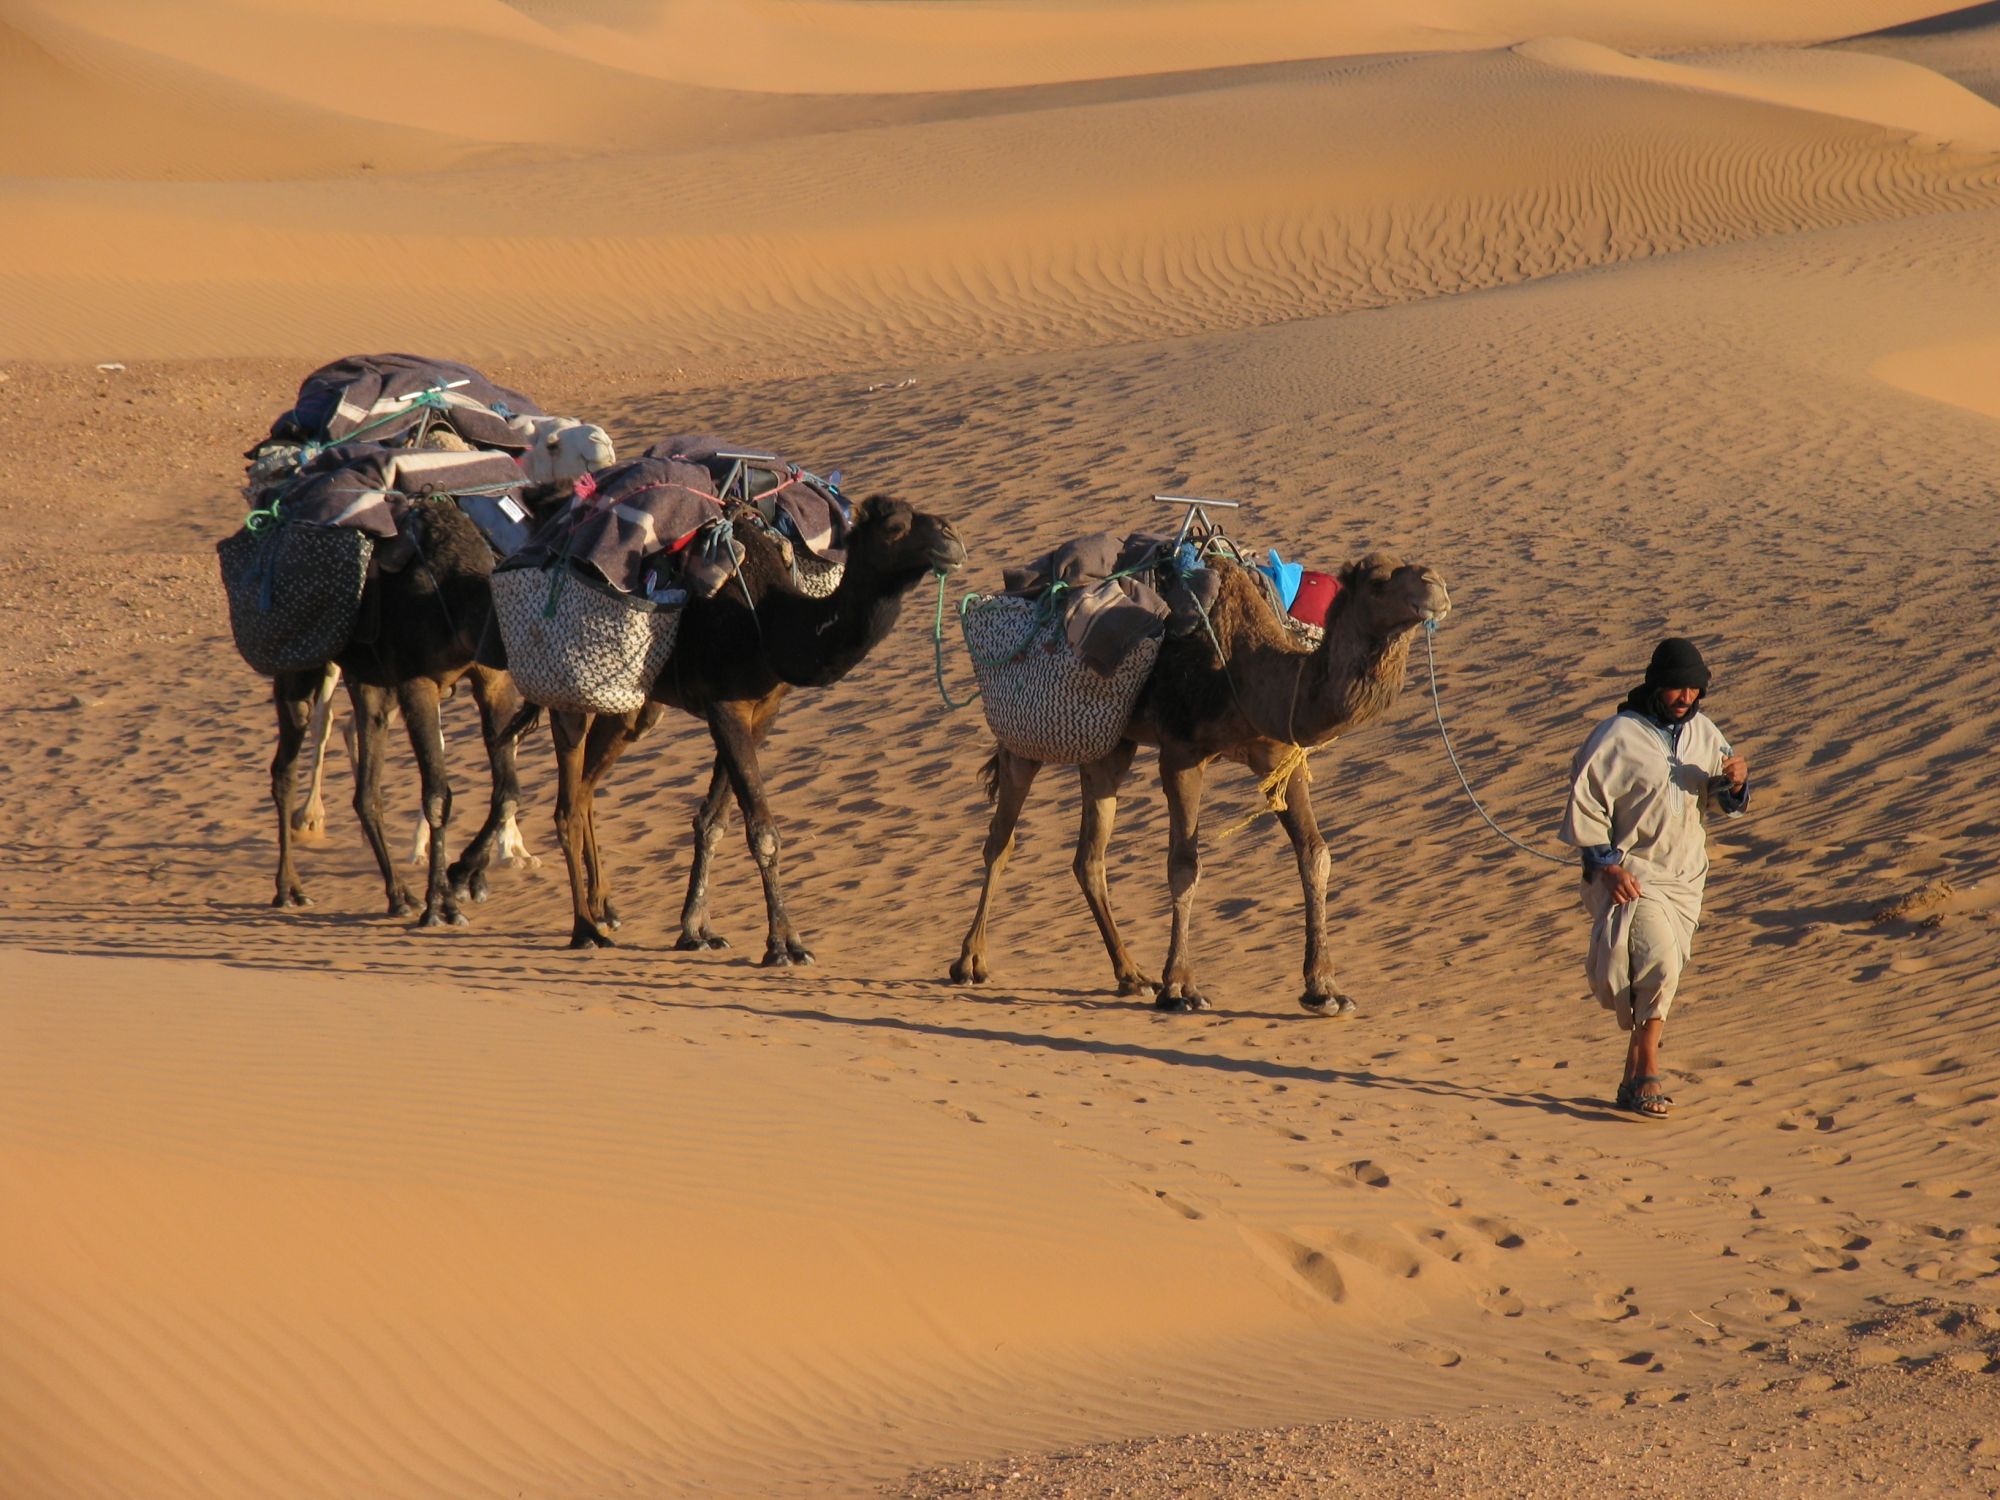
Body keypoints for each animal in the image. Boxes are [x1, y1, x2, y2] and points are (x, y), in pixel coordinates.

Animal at [548, 495, 966, 959]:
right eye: (895, 527)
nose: (952, 537)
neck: (767, 620)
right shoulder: (724, 706)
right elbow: (762, 830)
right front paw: (785, 944)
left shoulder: (762, 712)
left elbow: (713, 821)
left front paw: (697, 931)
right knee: (566, 803)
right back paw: (584, 928)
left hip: (631, 706)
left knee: (586, 788)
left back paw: (602, 909)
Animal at [950, 550, 1451, 1013]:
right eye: (1379, 581)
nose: (1437, 585)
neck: (1248, 671)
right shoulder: (1181, 754)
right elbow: (1184, 865)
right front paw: (1181, 988)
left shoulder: (1281, 757)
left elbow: (1316, 854)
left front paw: (1325, 988)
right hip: (1024, 737)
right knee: (1001, 838)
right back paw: (970, 962)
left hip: (1110, 746)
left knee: (1089, 856)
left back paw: (1131, 974)